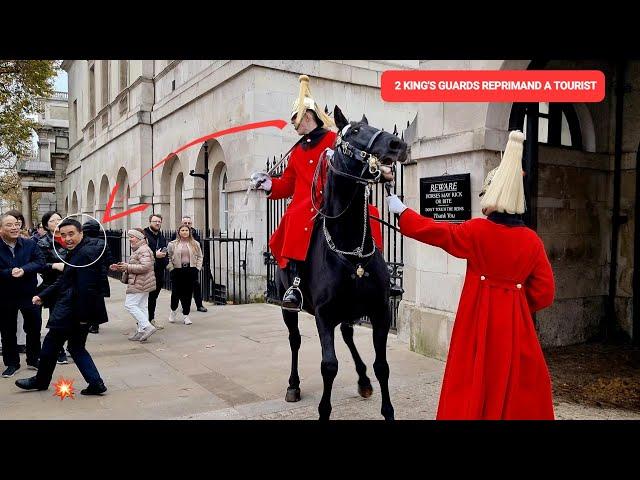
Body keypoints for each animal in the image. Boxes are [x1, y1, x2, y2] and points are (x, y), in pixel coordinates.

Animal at [276, 106, 408, 420]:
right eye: (355, 131)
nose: (397, 145)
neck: (351, 249)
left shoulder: (380, 311)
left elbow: (382, 366)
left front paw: (387, 410)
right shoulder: (324, 315)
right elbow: (329, 366)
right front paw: (324, 411)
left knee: (348, 334)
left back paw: (363, 380)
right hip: (290, 308)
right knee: (295, 340)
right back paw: (293, 385)